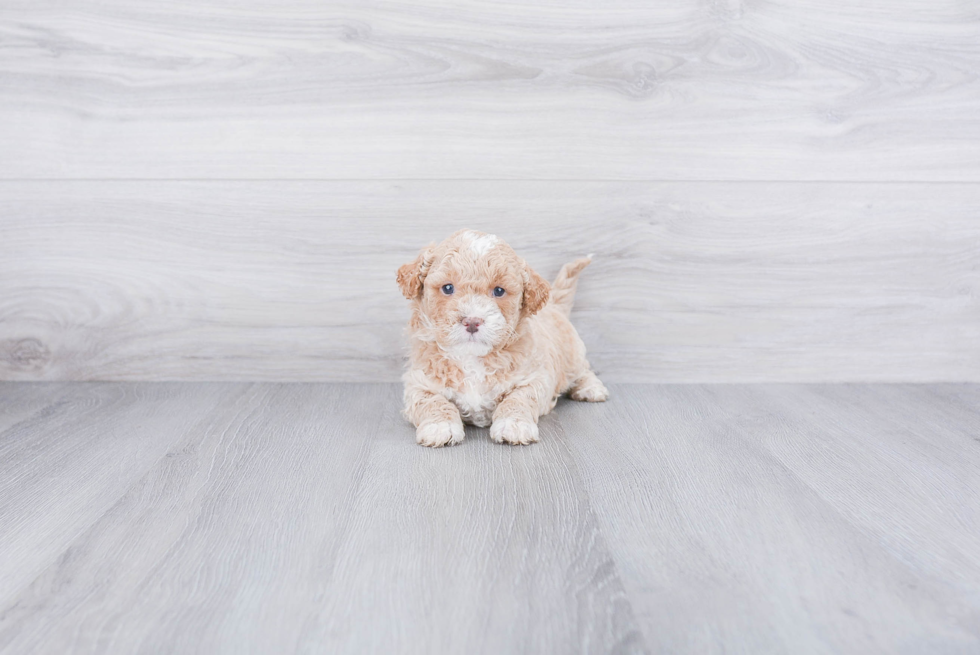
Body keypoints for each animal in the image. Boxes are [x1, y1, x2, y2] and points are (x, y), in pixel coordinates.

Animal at [396, 228, 608, 448]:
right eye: (447, 288)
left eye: (499, 291)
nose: (472, 321)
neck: (471, 359)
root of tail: (554, 306)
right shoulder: (419, 382)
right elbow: (431, 401)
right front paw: (440, 426)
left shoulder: (534, 377)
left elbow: (519, 398)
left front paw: (514, 424)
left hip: (572, 354)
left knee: (584, 370)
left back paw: (591, 388)